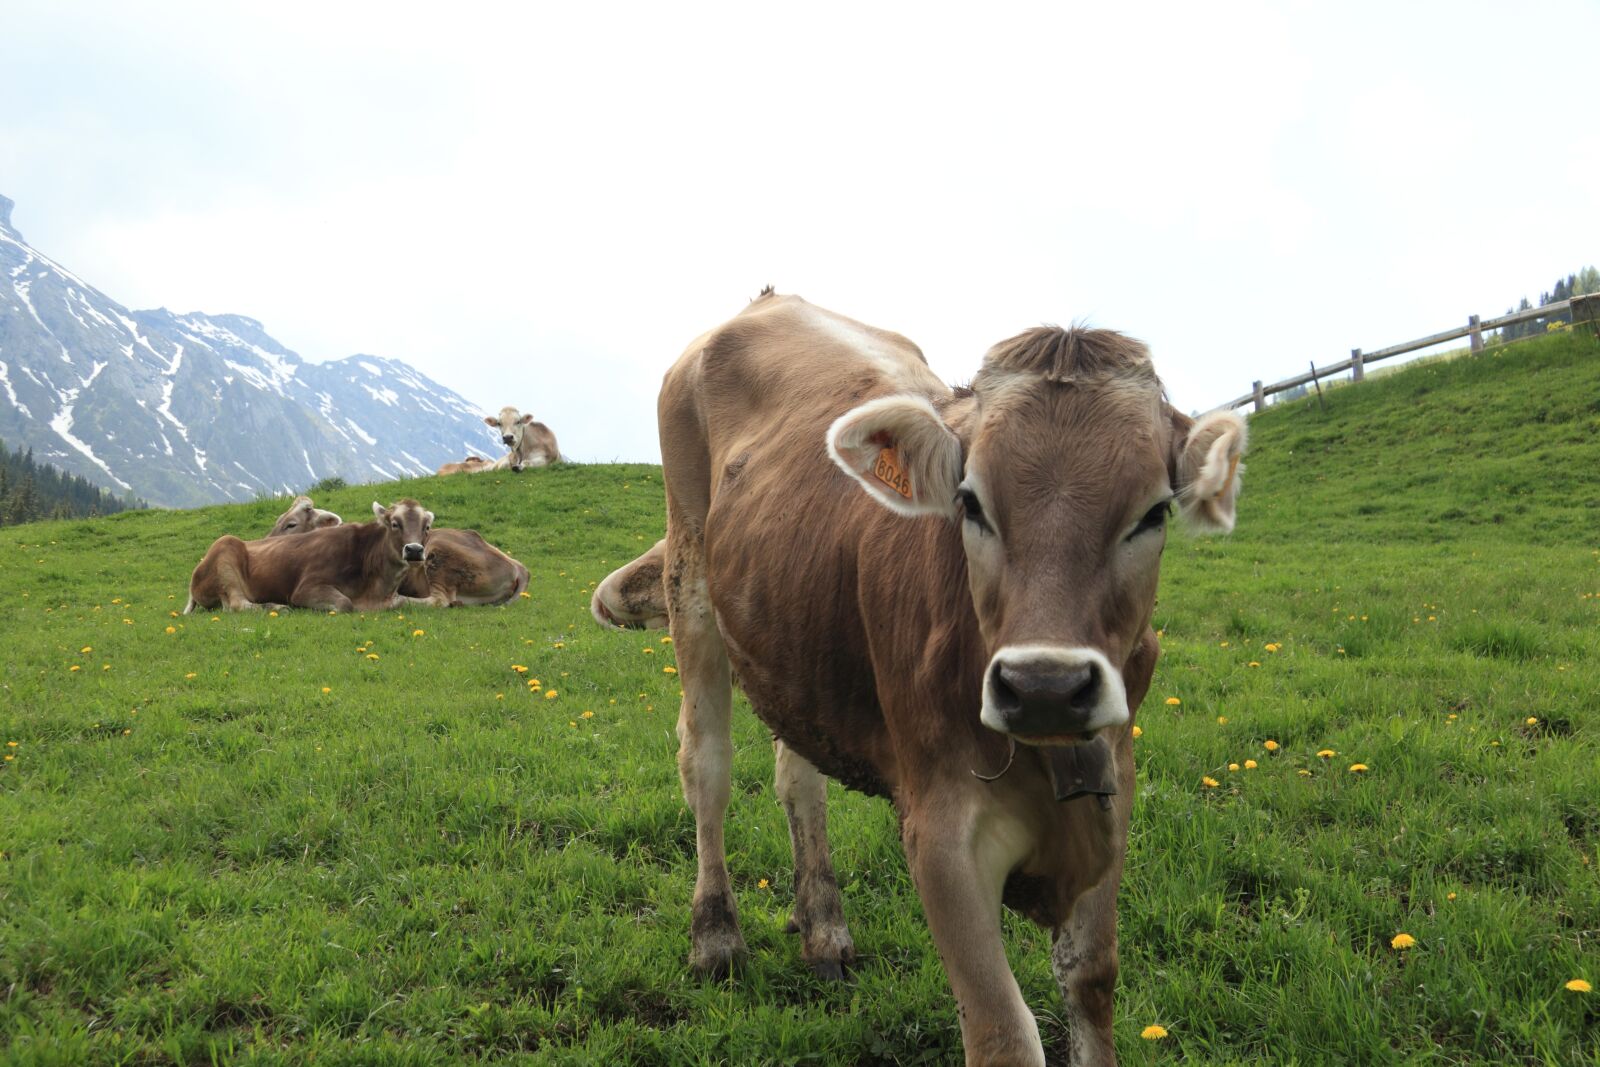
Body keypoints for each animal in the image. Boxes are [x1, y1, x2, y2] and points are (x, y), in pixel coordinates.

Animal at [185, 499, 433, 614]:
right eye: (395, 523)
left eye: (427, 527)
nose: (413, 550)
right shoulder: (305, 588)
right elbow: (345, 603)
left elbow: (409, 601)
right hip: (225, 552)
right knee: (235, 604)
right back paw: (275, 607)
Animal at [658, 291, 1245, 1066]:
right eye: (970, 502)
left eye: (1154, 512)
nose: (1045, 686)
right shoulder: (939, 831)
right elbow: (1002, 1031)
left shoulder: (1112, 792)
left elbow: (1092, 980)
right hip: (690, 578)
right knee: (708, 766)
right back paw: (716, 936)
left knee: (799, 778)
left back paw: (824, 927)